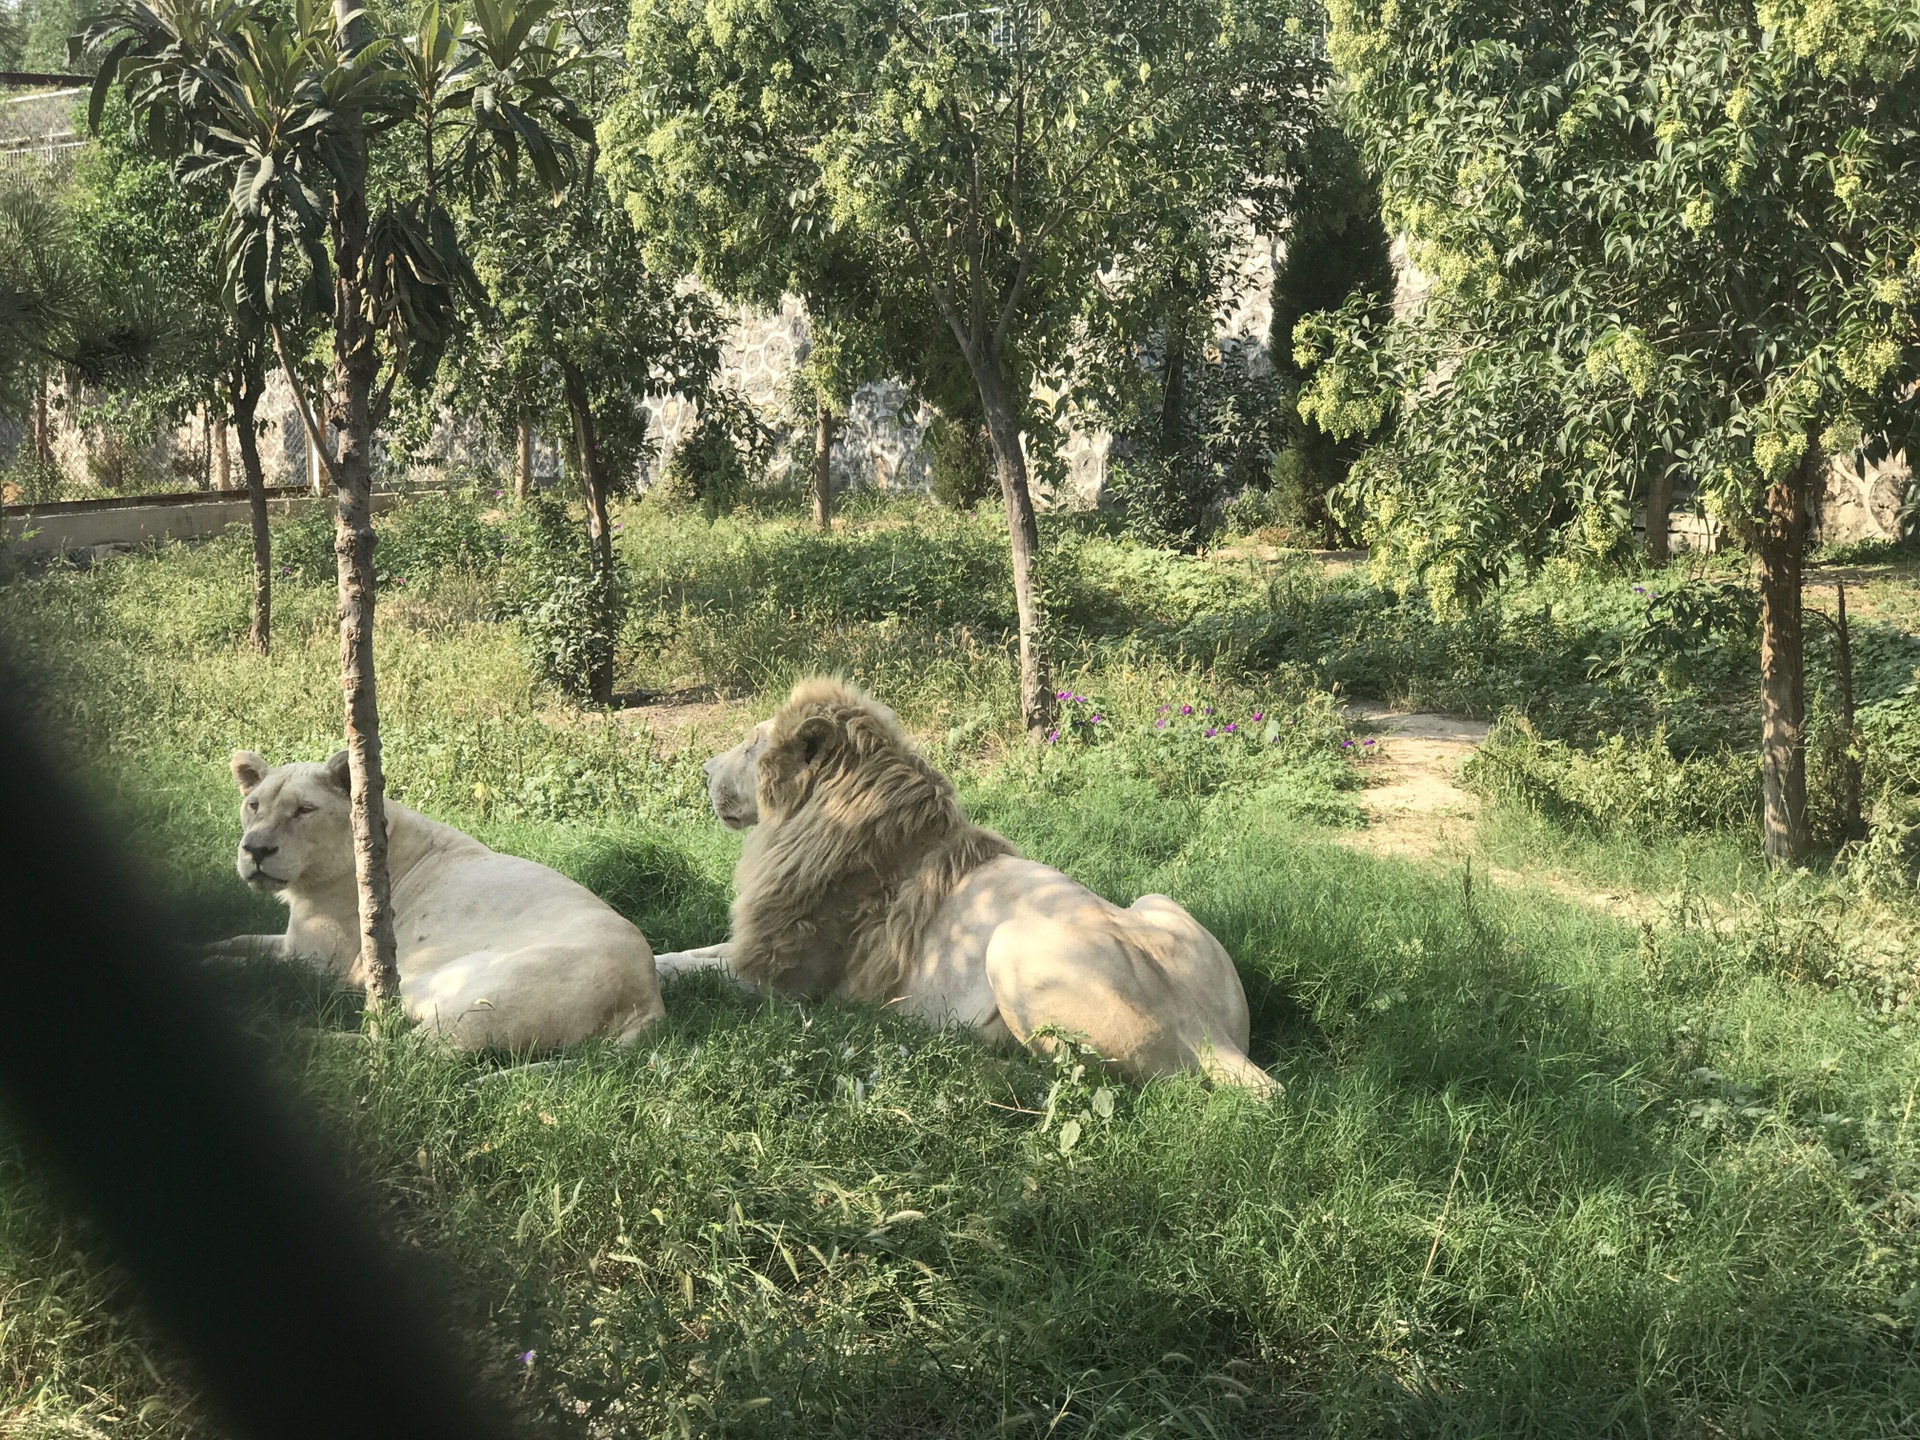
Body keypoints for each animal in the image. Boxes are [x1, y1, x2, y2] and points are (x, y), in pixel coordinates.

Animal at [217, 756, 664, 1052]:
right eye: (254, 805)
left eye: (304, 810)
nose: (255, 850)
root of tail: (649, 994)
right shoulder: (293, 942)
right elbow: (239, 940)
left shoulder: (318, 965)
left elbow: (243, 963)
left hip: (484, 1002)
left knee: (400, 1055)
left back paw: (276, 1034)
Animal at [652, 683, 1267, 1090]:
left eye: (750, 745)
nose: (703, 770)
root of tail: (1210, 1033)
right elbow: (686, 953)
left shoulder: (779, 980)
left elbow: (683, 967)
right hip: (1156, 901)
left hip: (1009, 947)